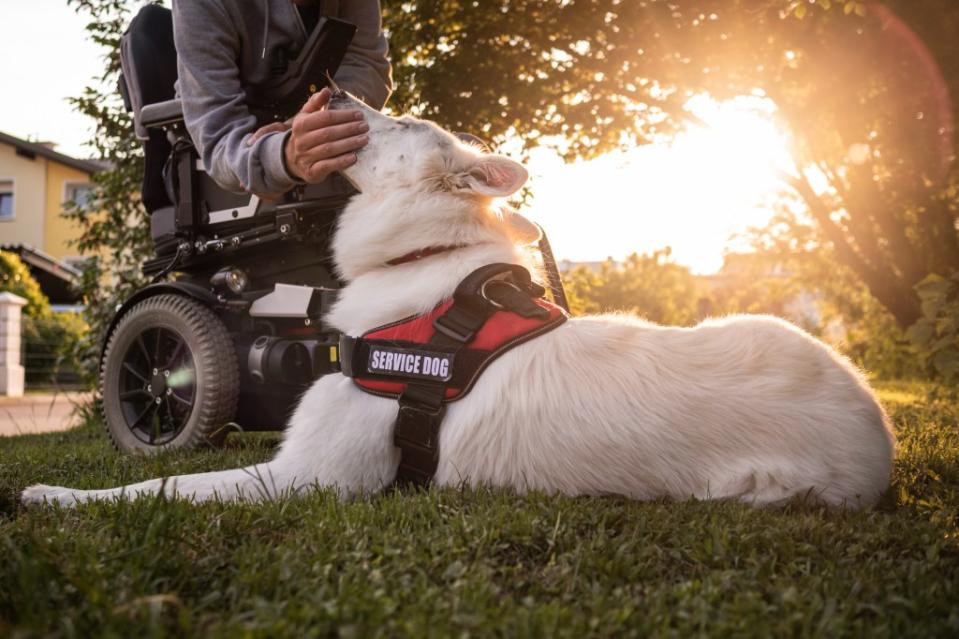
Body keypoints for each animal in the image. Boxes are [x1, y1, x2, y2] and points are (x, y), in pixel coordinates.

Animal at [22, 94, 896, 510]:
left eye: (403, 116)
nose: (329, 91)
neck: (424, 257)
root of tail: (879, 435)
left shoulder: (306, 477)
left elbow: (159, 487)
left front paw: (56, 497)